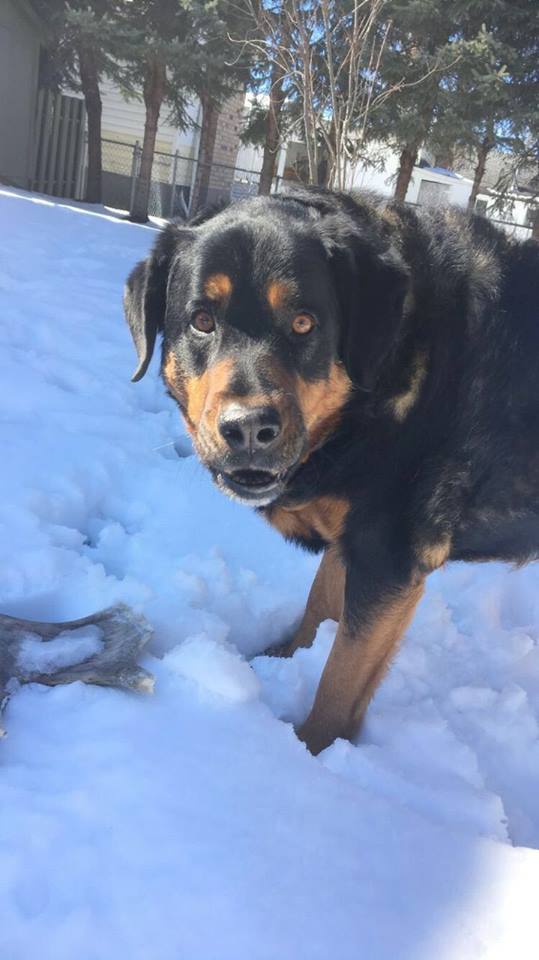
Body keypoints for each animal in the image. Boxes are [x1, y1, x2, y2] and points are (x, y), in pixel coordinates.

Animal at [123, 188, 539, 752]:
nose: (248, 428)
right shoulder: (350, 536)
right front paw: (287, 658)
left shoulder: (388, 559)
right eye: (202, 320)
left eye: (304, 323)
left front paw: (307, 752)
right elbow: (320, 605)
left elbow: (340, 681)